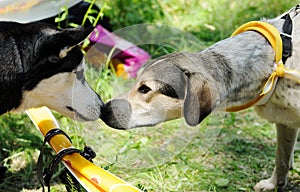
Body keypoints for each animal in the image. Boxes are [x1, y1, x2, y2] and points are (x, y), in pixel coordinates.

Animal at [101, 5, 300, 191]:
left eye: (145, 89)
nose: (104, 109)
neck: (276, 58)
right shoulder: (286, 123)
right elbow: (281, 159)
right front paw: (274, 184)